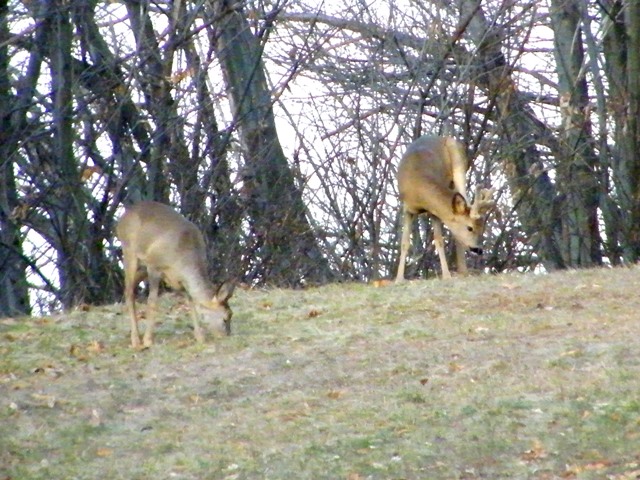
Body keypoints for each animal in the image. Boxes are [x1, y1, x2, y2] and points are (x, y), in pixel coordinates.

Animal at [115, 201, 235, 346]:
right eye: (226, 317)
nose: (227, 335)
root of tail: (123, 217)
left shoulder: (181, 280)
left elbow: (191, 303)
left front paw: (200, 337)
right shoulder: (154, 266)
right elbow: (152, 301)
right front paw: (148, 340)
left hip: (142, 267)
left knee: (129, 289)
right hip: (129, 252)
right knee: (129, 291)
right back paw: (136, 339)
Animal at [396, 135, 496, 282]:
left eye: (482, 227)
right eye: (470, 228)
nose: (478, 249)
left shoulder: (435, 211)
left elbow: (439, 240)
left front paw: (446, 275)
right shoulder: (407, 208)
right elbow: (404, 243)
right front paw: (398, 278)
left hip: (459, 166)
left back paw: (463, 270)